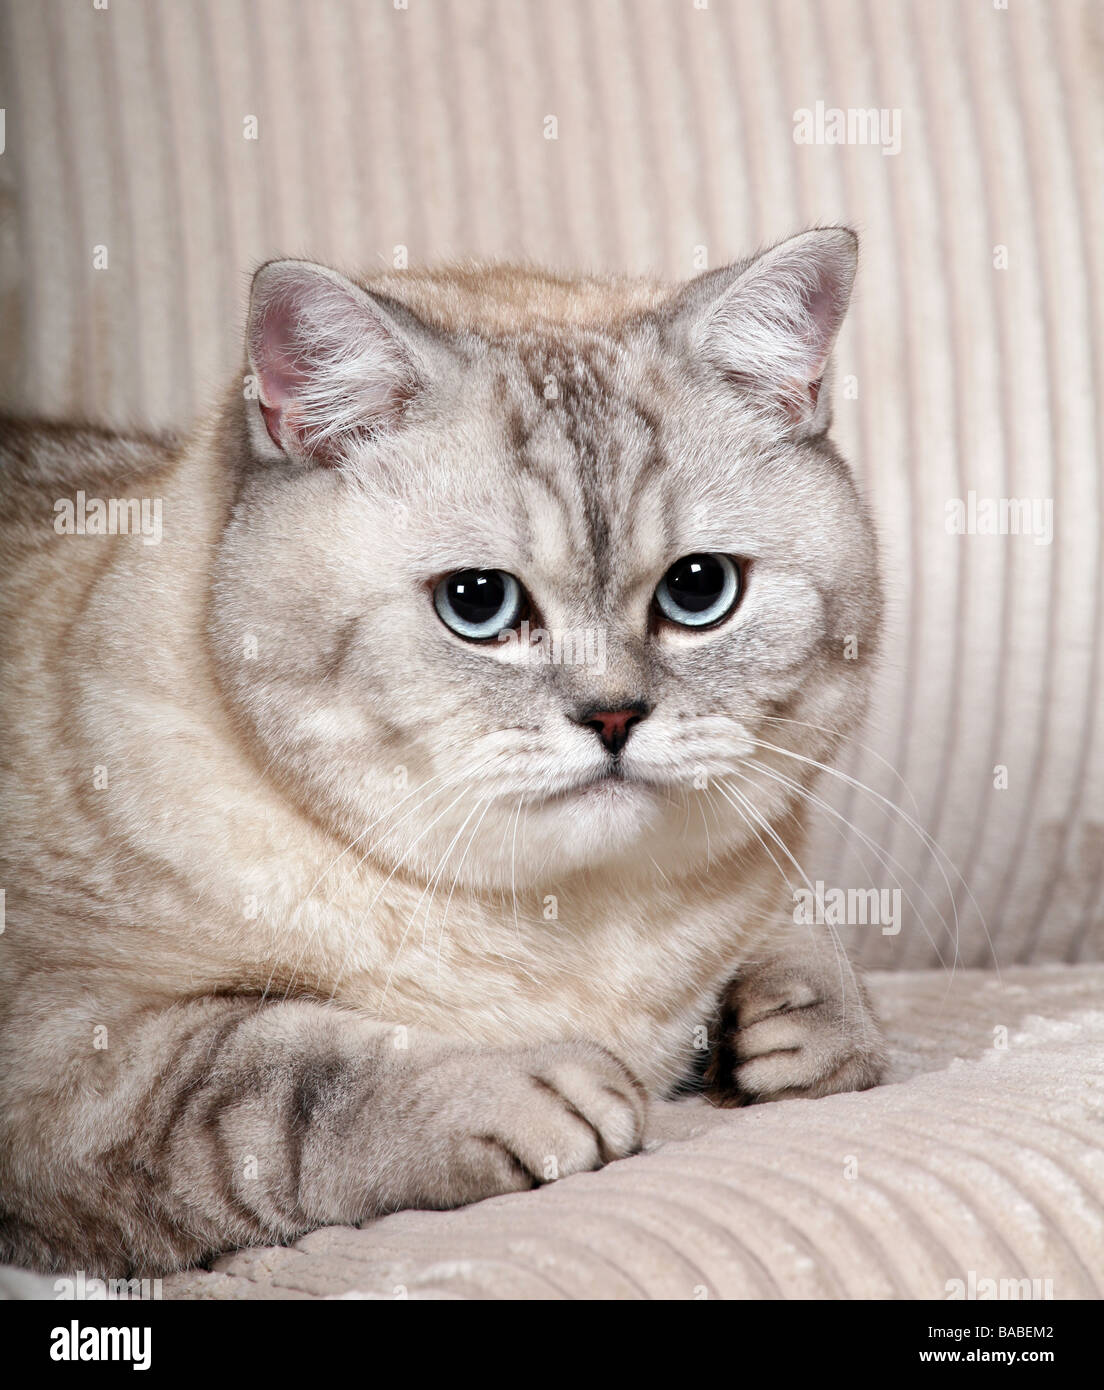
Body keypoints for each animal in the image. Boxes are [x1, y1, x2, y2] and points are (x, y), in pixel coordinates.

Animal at [0, 227, 878, 1278]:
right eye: (478, 603)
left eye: (699, 589)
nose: (615, 717)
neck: (579, 925)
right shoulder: (66, 1055)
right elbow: (278, 1073)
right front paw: (534, 1092)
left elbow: (810, 946)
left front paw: (801, 1026)